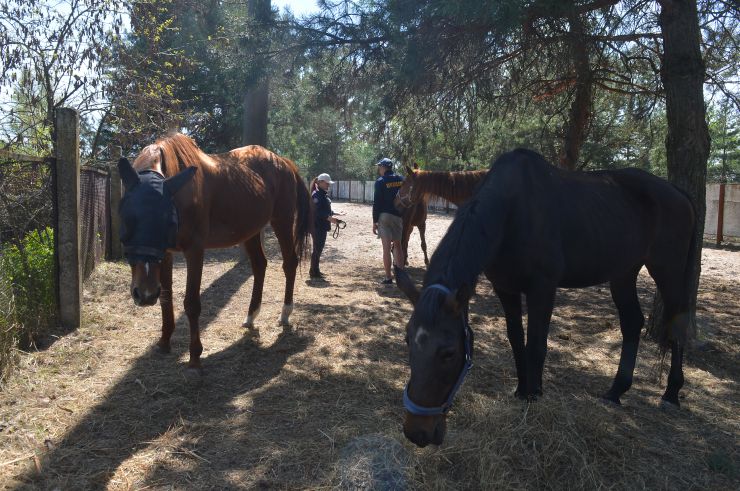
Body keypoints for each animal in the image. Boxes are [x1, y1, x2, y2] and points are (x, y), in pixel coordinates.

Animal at [118, 133, 312, 370]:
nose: (145, 295)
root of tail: (283, 162)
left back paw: (285, 313)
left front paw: (195, 355)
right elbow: (166, 296)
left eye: (167, 220)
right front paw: (164, 341)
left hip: (282, 221)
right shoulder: (166, 253)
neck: (180, 194)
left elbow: (191, 303)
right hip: (251, 230)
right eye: (126, 217)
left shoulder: (194, 250)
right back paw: (251, 316)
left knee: (289, 263)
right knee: (259, 265)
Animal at [396, 148, 696, 448]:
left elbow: (536, 345)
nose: (417, 433)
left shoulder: (543, 288)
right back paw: (616, 391)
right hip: (624, 273)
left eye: (448, 353)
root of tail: (677, 192)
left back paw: (671, 394)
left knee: (678, 323)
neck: (513, 210)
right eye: (408, 341)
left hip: (667, 271)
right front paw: (521, 390)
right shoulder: (505, 289)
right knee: (632, 323)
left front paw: (534, 395)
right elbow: (516, 340)